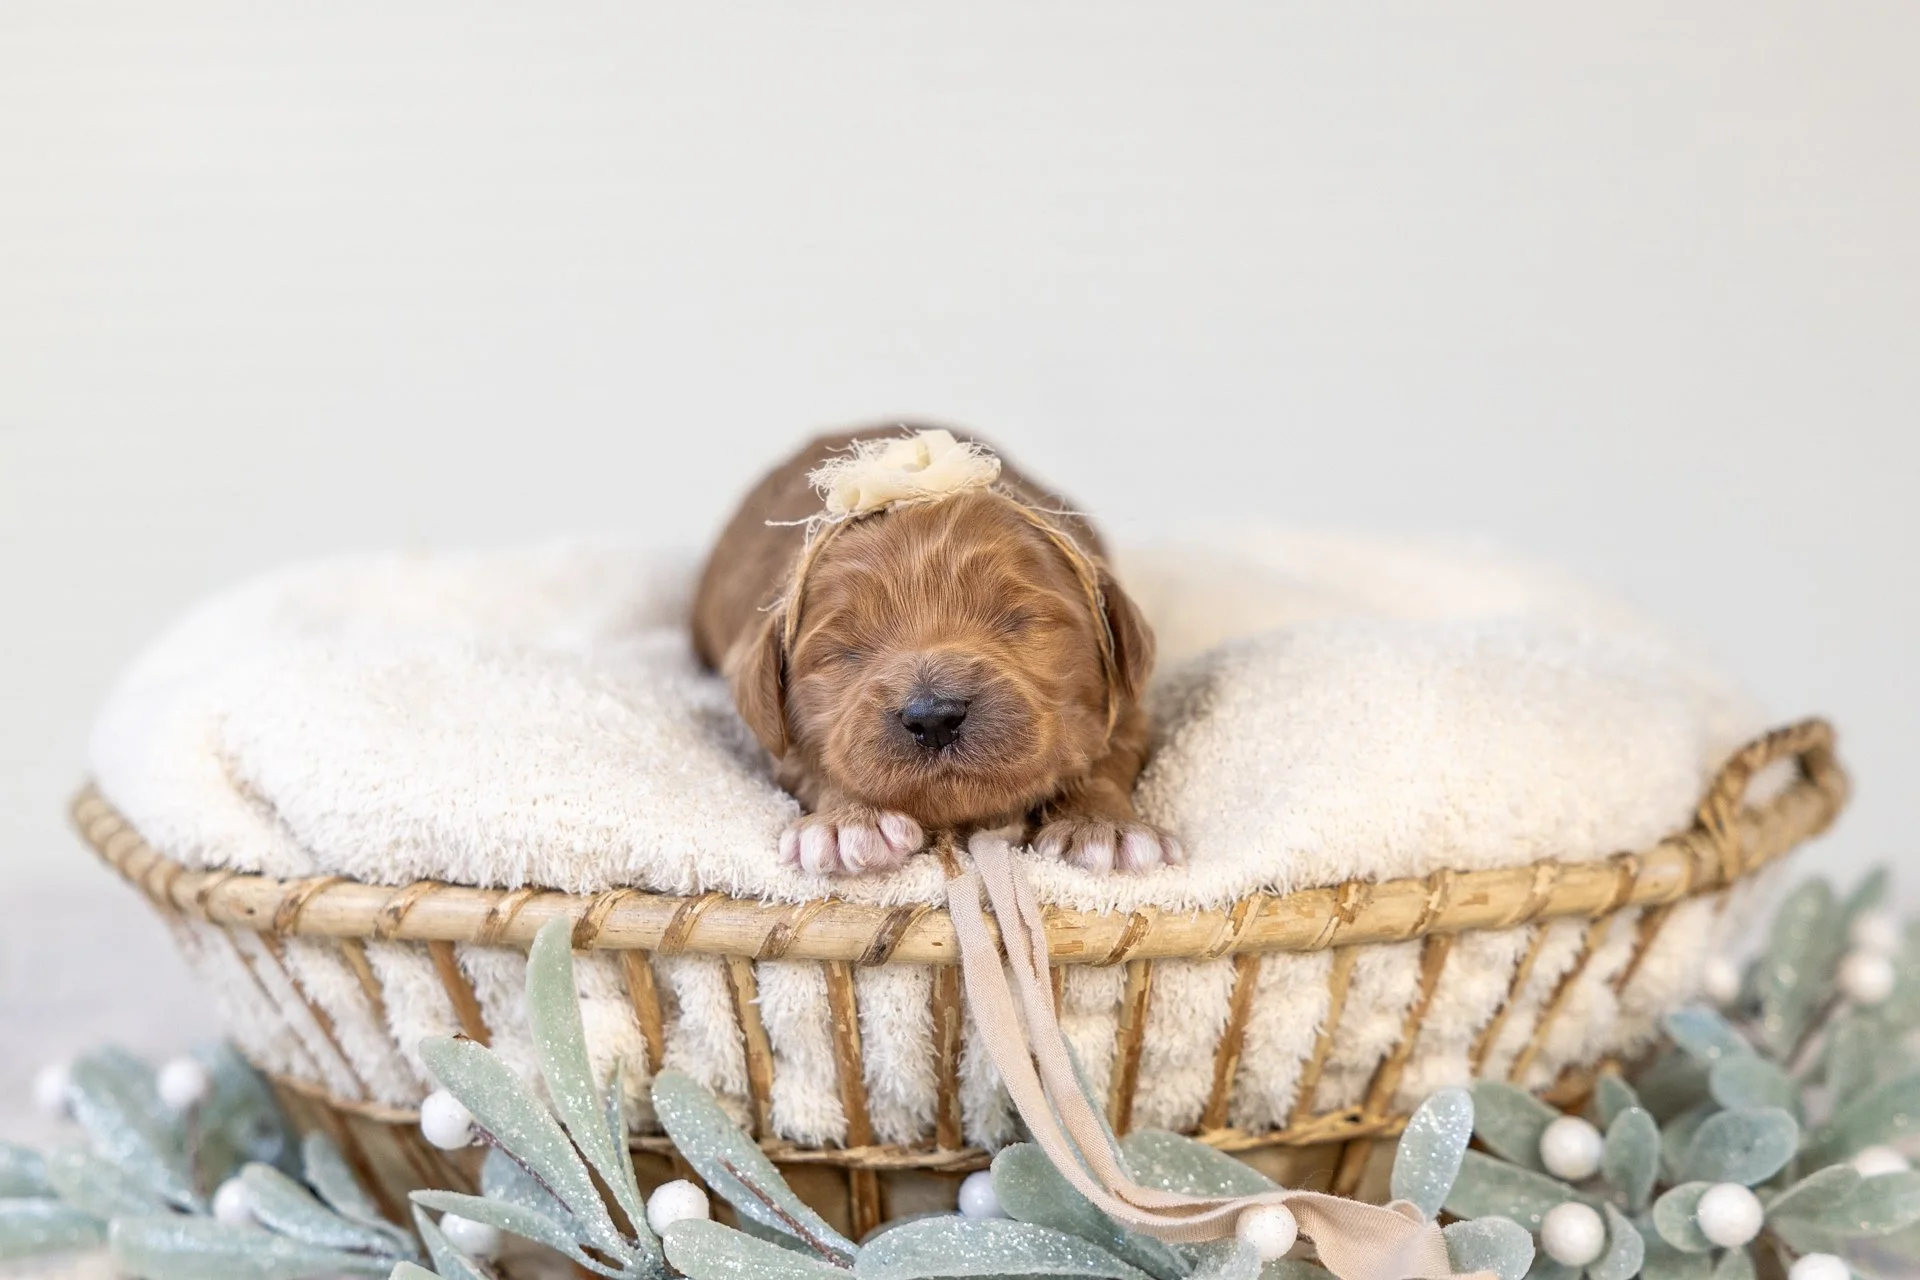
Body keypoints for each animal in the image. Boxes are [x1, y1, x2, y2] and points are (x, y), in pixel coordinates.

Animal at [692, 428, 1182, 876]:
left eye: (1021, 620)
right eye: (844, 652)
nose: (934, 718)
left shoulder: (1129, 708)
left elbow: (1107, 758)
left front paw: (1105, 826)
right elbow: (819, 764)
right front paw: (847, 822)